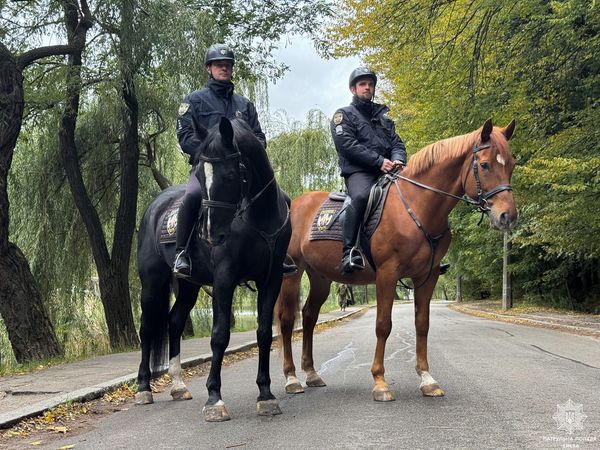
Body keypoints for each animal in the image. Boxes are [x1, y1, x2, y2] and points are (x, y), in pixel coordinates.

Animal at [137, 117, 296, 422]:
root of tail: (155, 206)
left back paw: (178, 385)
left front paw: (266, 394)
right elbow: (219, 335)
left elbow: (264, 333)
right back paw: (143, 389)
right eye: (200, 175)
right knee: (147, 328)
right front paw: (214, 399)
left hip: (189, 286)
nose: (210, 234)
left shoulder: (271, 280)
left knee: (174, 321)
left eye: (230, 175)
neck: (257, 218)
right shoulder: (225, 278)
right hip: (151, 283)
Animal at [276, 118, 516, 400]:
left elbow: (422, 324)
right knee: (287, 321)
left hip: (320, 276)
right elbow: (383, 324)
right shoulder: (387, 274)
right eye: (485, 165)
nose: (507, 216)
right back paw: (291, 378)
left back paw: (312, 373)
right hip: (293, 272)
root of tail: (294, 204)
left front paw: (427, 379)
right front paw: (380, 381)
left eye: (511, 164)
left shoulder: (427, 276)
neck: (416, 205)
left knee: (310, 316)